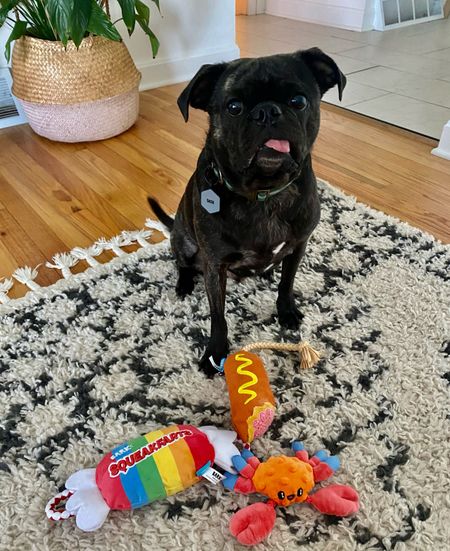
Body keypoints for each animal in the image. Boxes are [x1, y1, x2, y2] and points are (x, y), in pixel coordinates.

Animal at [149, 47, 346, 378]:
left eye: (299, 101)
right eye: (234, 107)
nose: (266, 112)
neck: (264, 192)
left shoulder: (299, 245)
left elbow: (287, 283)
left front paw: (286, 311)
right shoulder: (214, 265)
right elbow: (218, 316)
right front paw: (215, 352)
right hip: (184, 241)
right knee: (183, 263)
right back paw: (184, 284)